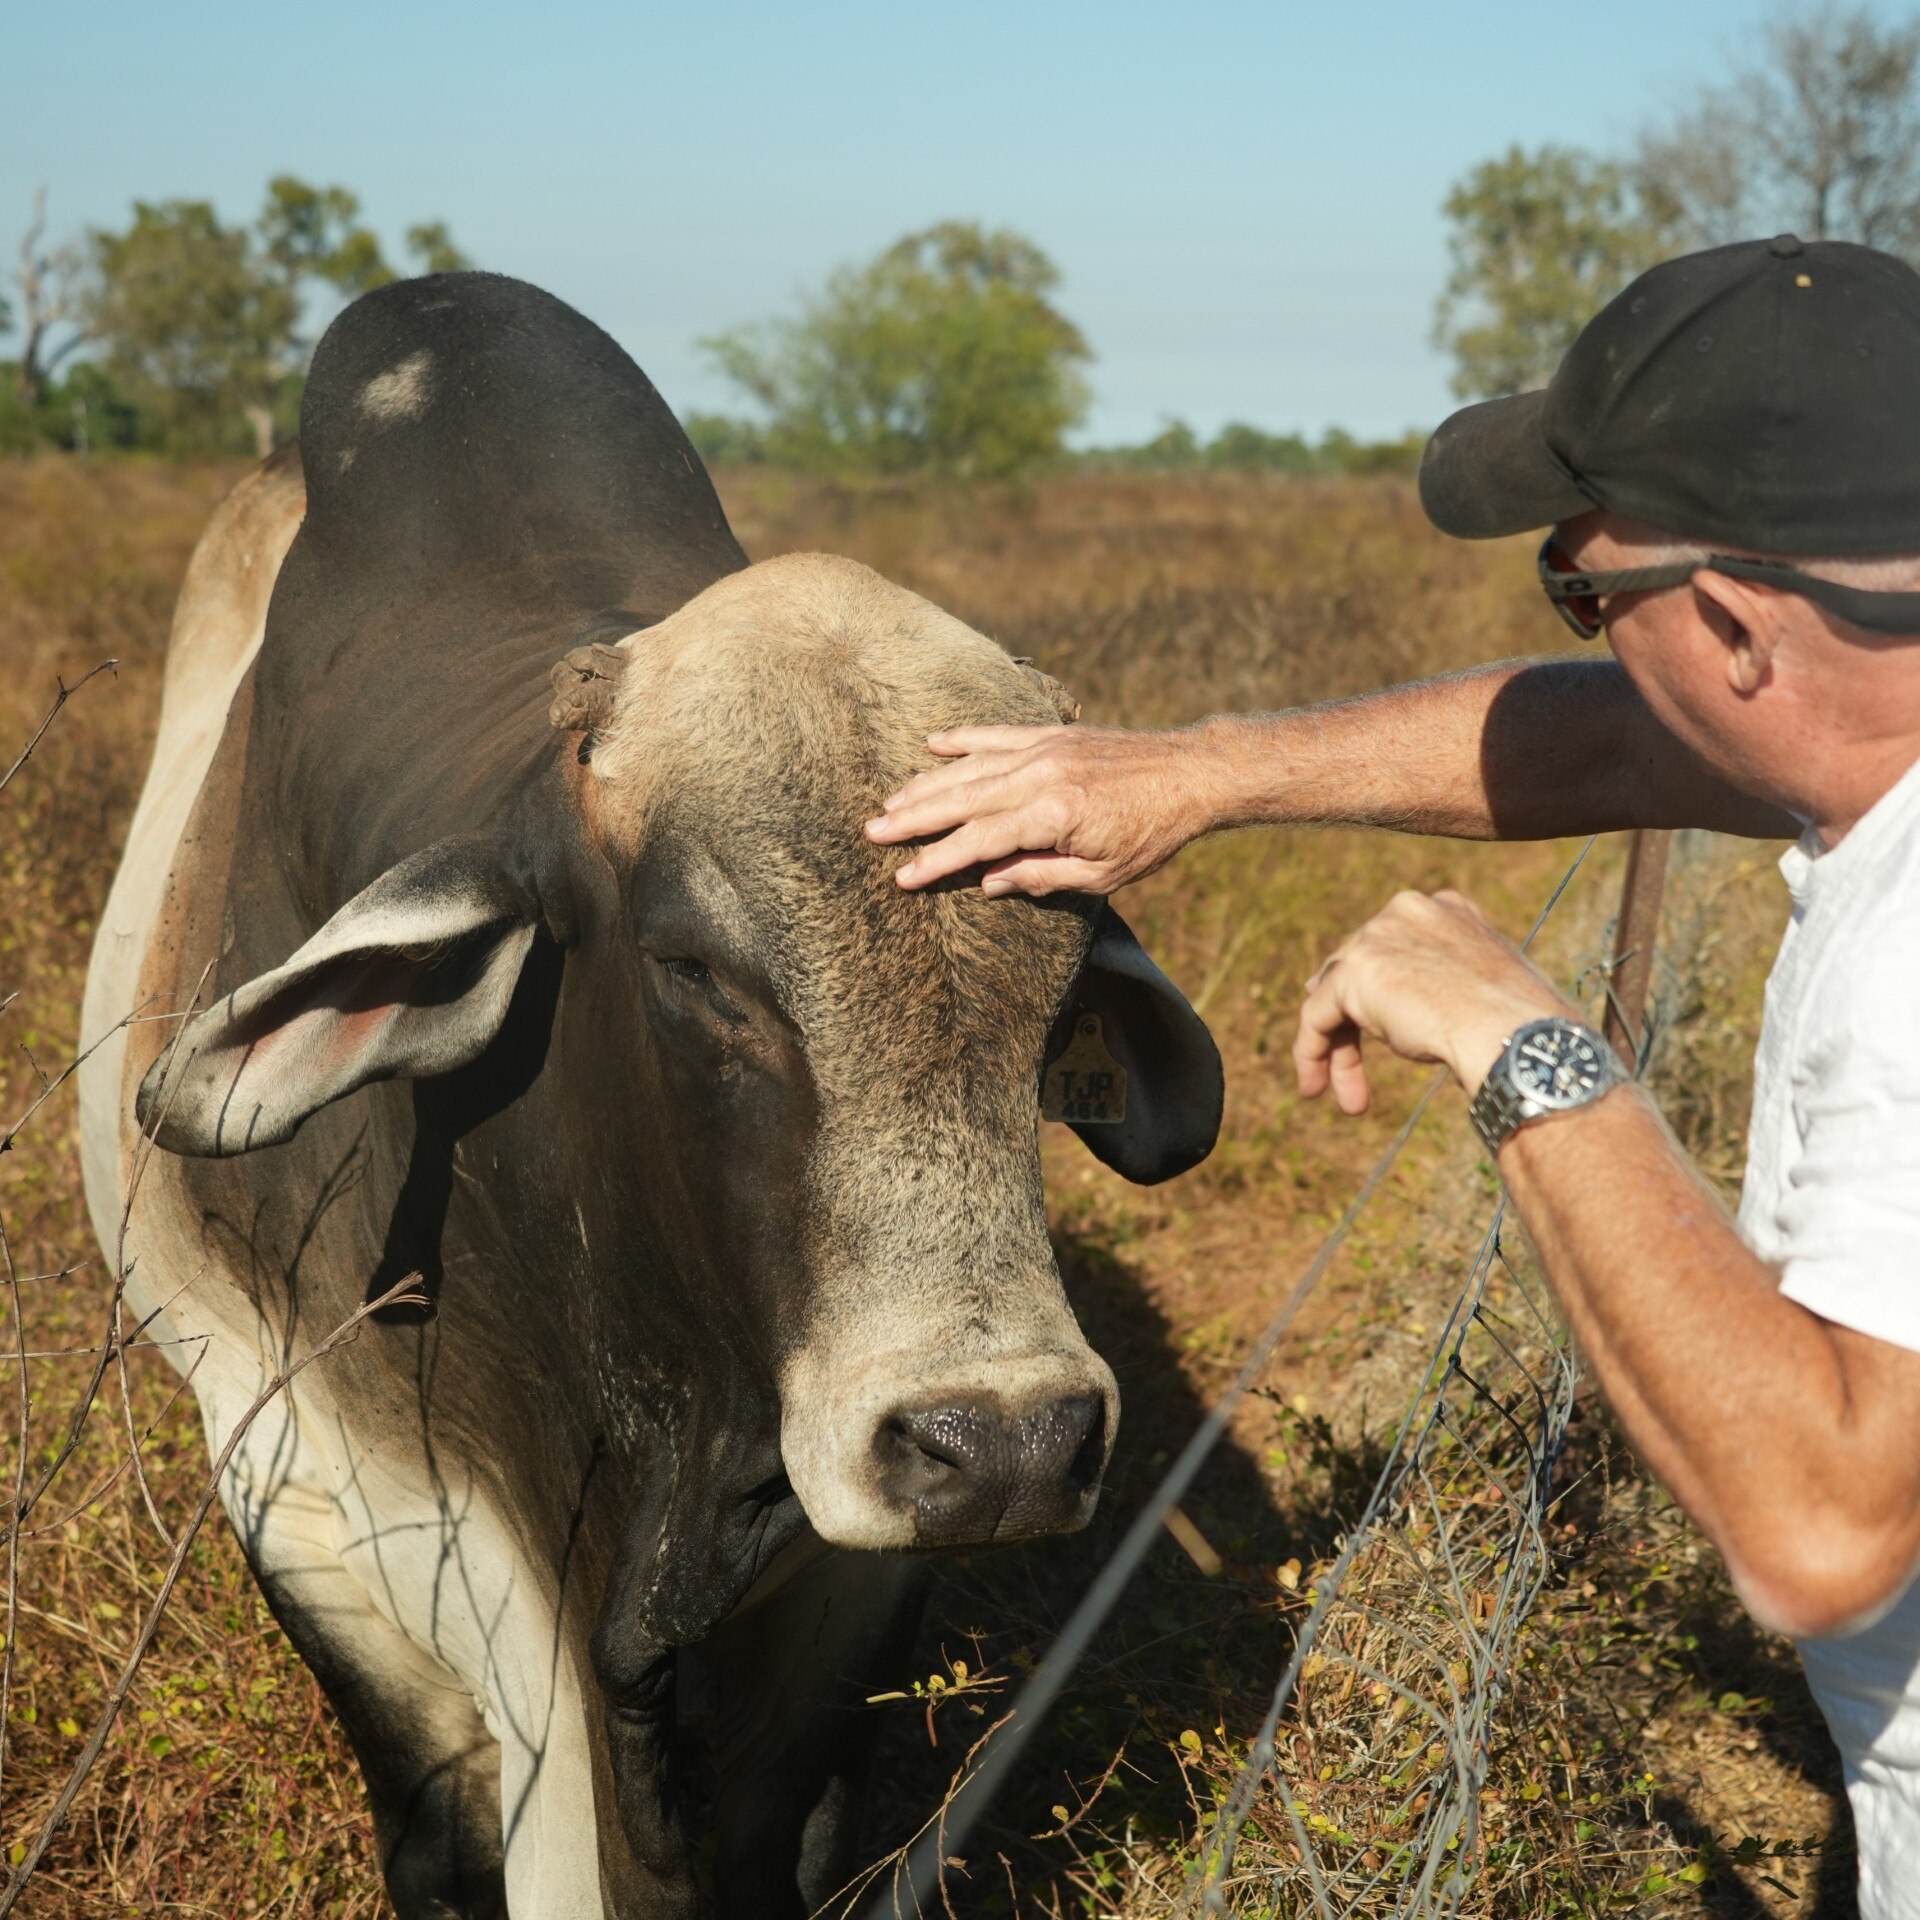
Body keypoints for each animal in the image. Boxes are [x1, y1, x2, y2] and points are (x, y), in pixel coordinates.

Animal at [77, 273, 1222, 1919]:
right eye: (689, 967)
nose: (1001, 1443)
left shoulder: (840, 1596)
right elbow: (449, 1846)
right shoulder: (318, 1505)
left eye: (1064, 980)